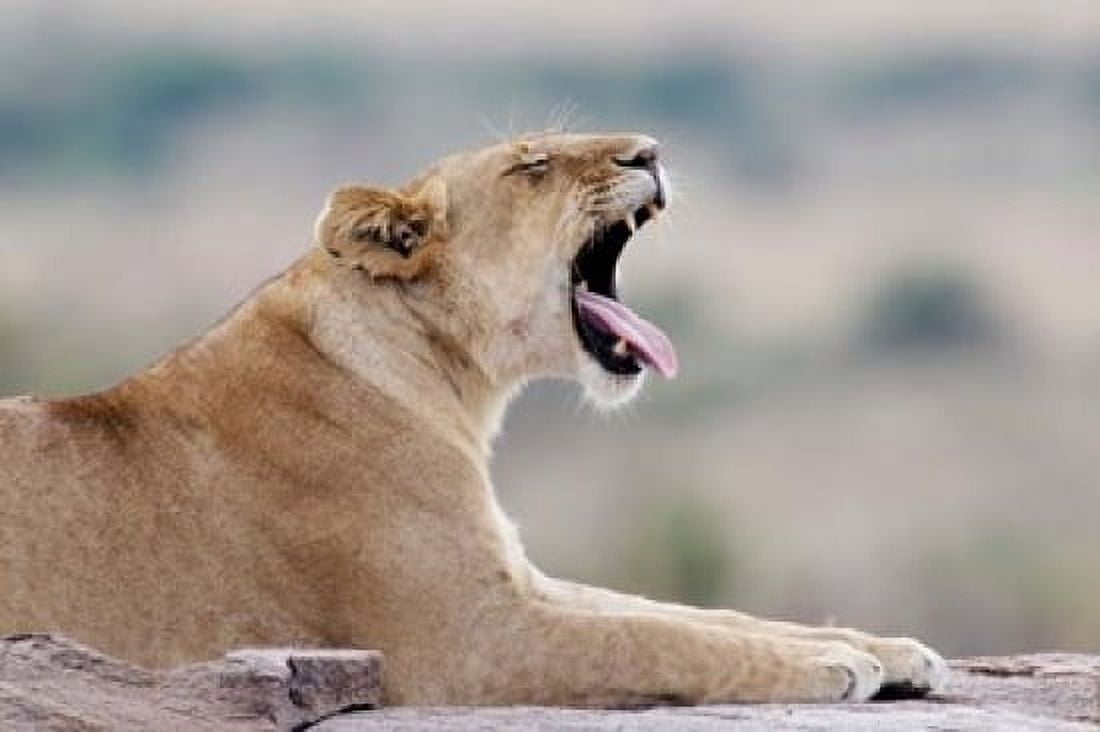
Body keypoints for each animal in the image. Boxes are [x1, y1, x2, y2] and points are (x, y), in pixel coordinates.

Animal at [0, 133, 947, 706]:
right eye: (532, 167)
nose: (651, 149)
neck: (453, 380)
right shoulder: (466, 640)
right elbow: (655, 641)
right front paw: (827, 665)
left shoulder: (516, 577)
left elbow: (693, 614)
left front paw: (889, 649)